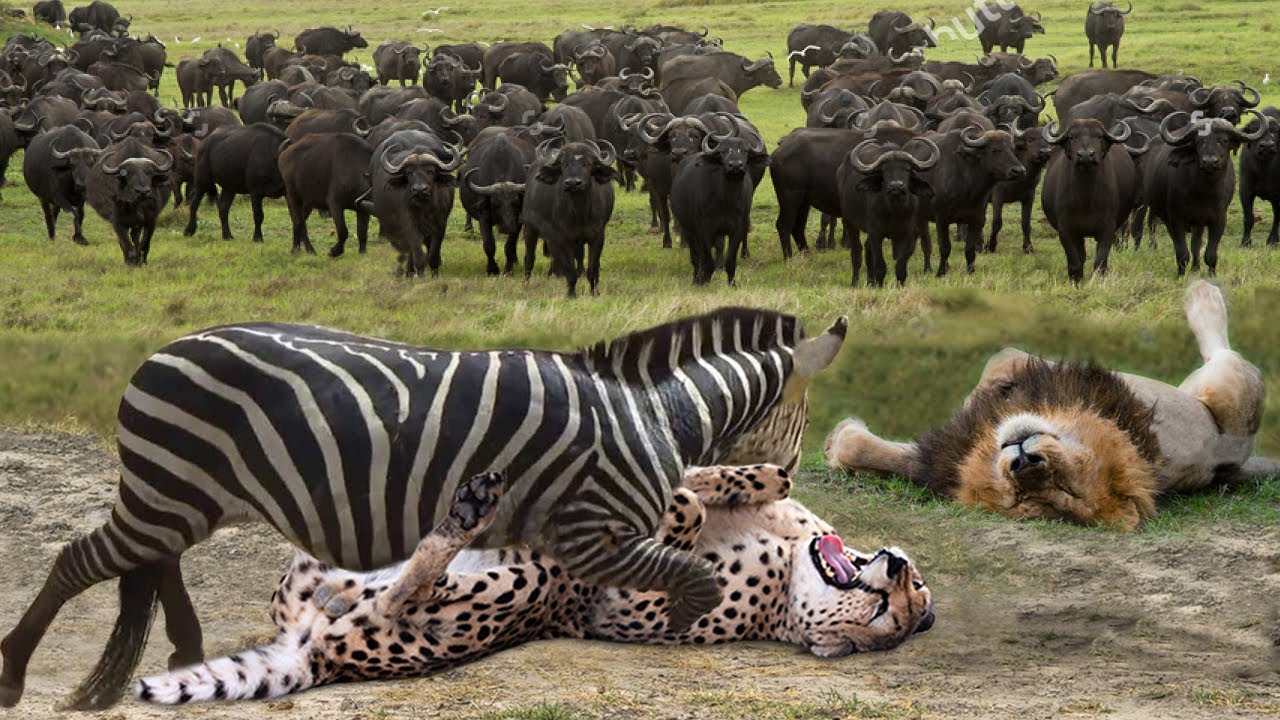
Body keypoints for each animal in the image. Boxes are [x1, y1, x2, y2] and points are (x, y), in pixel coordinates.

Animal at [0, 306, 847, 710]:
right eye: (801, 415)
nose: (791, 473)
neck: (655, 414)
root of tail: (162, 350)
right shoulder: (590, 536)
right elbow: (690, 568)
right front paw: (674, 618)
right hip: (170, 489)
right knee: (80, 558)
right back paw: (13, 675)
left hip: (183, 494)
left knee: (155, 560)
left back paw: (180, 655)